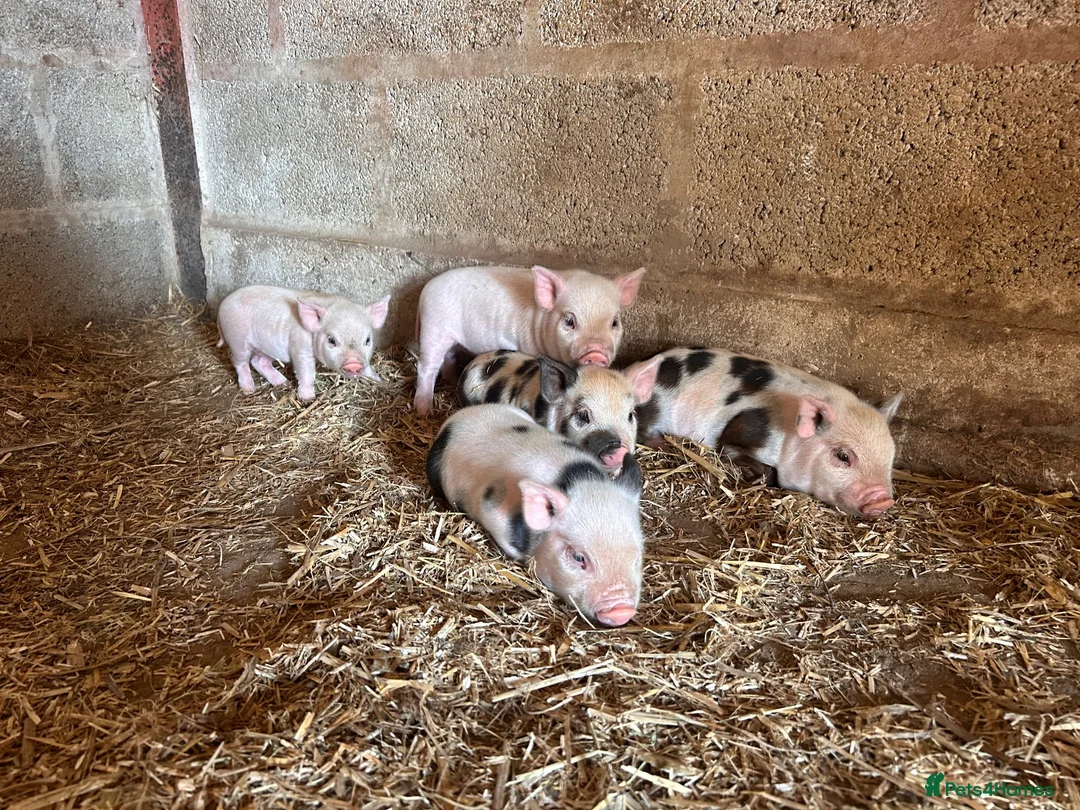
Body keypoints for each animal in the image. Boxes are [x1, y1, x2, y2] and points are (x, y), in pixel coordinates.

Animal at [216, 285, 390, 401]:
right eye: (332, 340)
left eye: (367, 339)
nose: (353, 363)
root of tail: (221, 306)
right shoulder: (300, 350)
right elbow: (307, 373)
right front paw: (308, 398)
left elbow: (368, 367)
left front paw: (381, 381)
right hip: (237, 340)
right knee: (239, 362)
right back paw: (249, 389)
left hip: (266, 347)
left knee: (258, 361)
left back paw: (282, 382)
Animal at [412, 264, 646, 416]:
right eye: (569, 321)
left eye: (614, 322)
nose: (596, 354)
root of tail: (424, 291)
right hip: (434, 329)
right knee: (426, 367)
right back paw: (423, 410)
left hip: (451, 339)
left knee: (448, 358)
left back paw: (451, 379)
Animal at [625, 347, 903, 517]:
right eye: (843, 456)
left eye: (890, 458)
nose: (884, 501)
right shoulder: (743, 430)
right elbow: (756, 465)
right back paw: (665, 444)